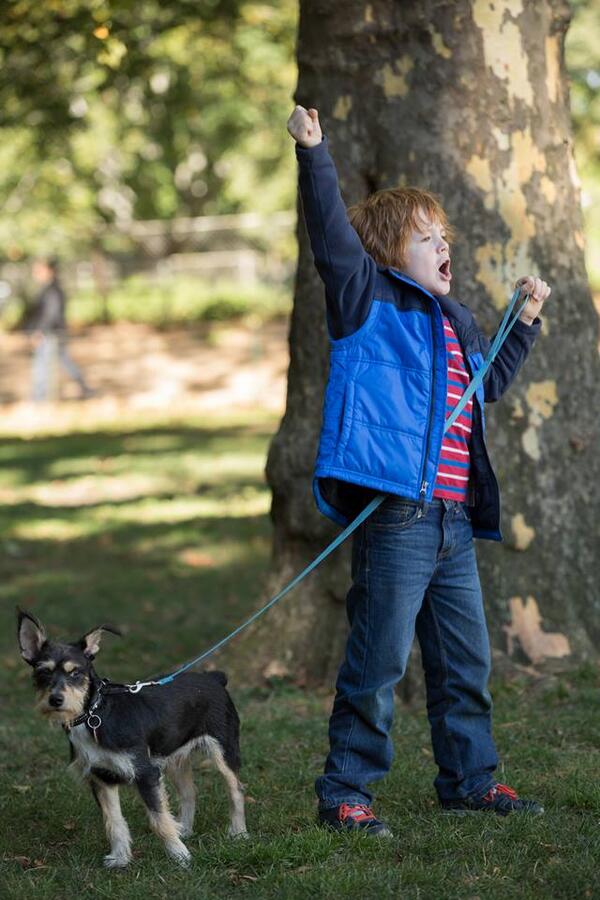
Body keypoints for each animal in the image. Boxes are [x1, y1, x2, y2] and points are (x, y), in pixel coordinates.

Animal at [17, 608, 246, 868]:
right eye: (42, 672)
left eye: (75, 672)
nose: (55, 700)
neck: (94, 714)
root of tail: (214, 677)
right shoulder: (101, 778)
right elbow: (114, 822)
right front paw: (120, 858)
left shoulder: (146, 773)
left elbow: (159, 820)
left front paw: (181, 857)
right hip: (174, 757)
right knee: (189, 793)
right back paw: (185, 830)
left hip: (224, 751)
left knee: (236, 789)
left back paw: (238, 833)